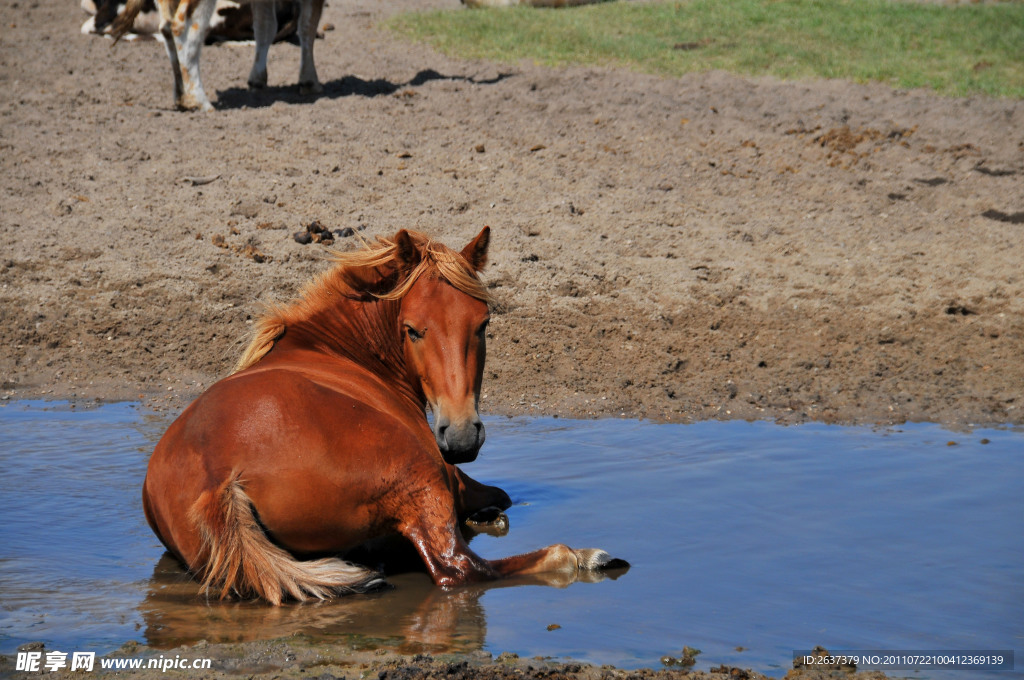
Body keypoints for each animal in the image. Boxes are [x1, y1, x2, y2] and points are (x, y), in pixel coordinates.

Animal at [143, 228, 622, 606]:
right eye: (412, 330)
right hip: (421, 475)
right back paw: (581, 556)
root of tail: (219, 480)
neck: (333, 349)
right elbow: (499, 496)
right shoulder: (450, 476)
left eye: (483, 324)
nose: (462, 437)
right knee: (460, 568)